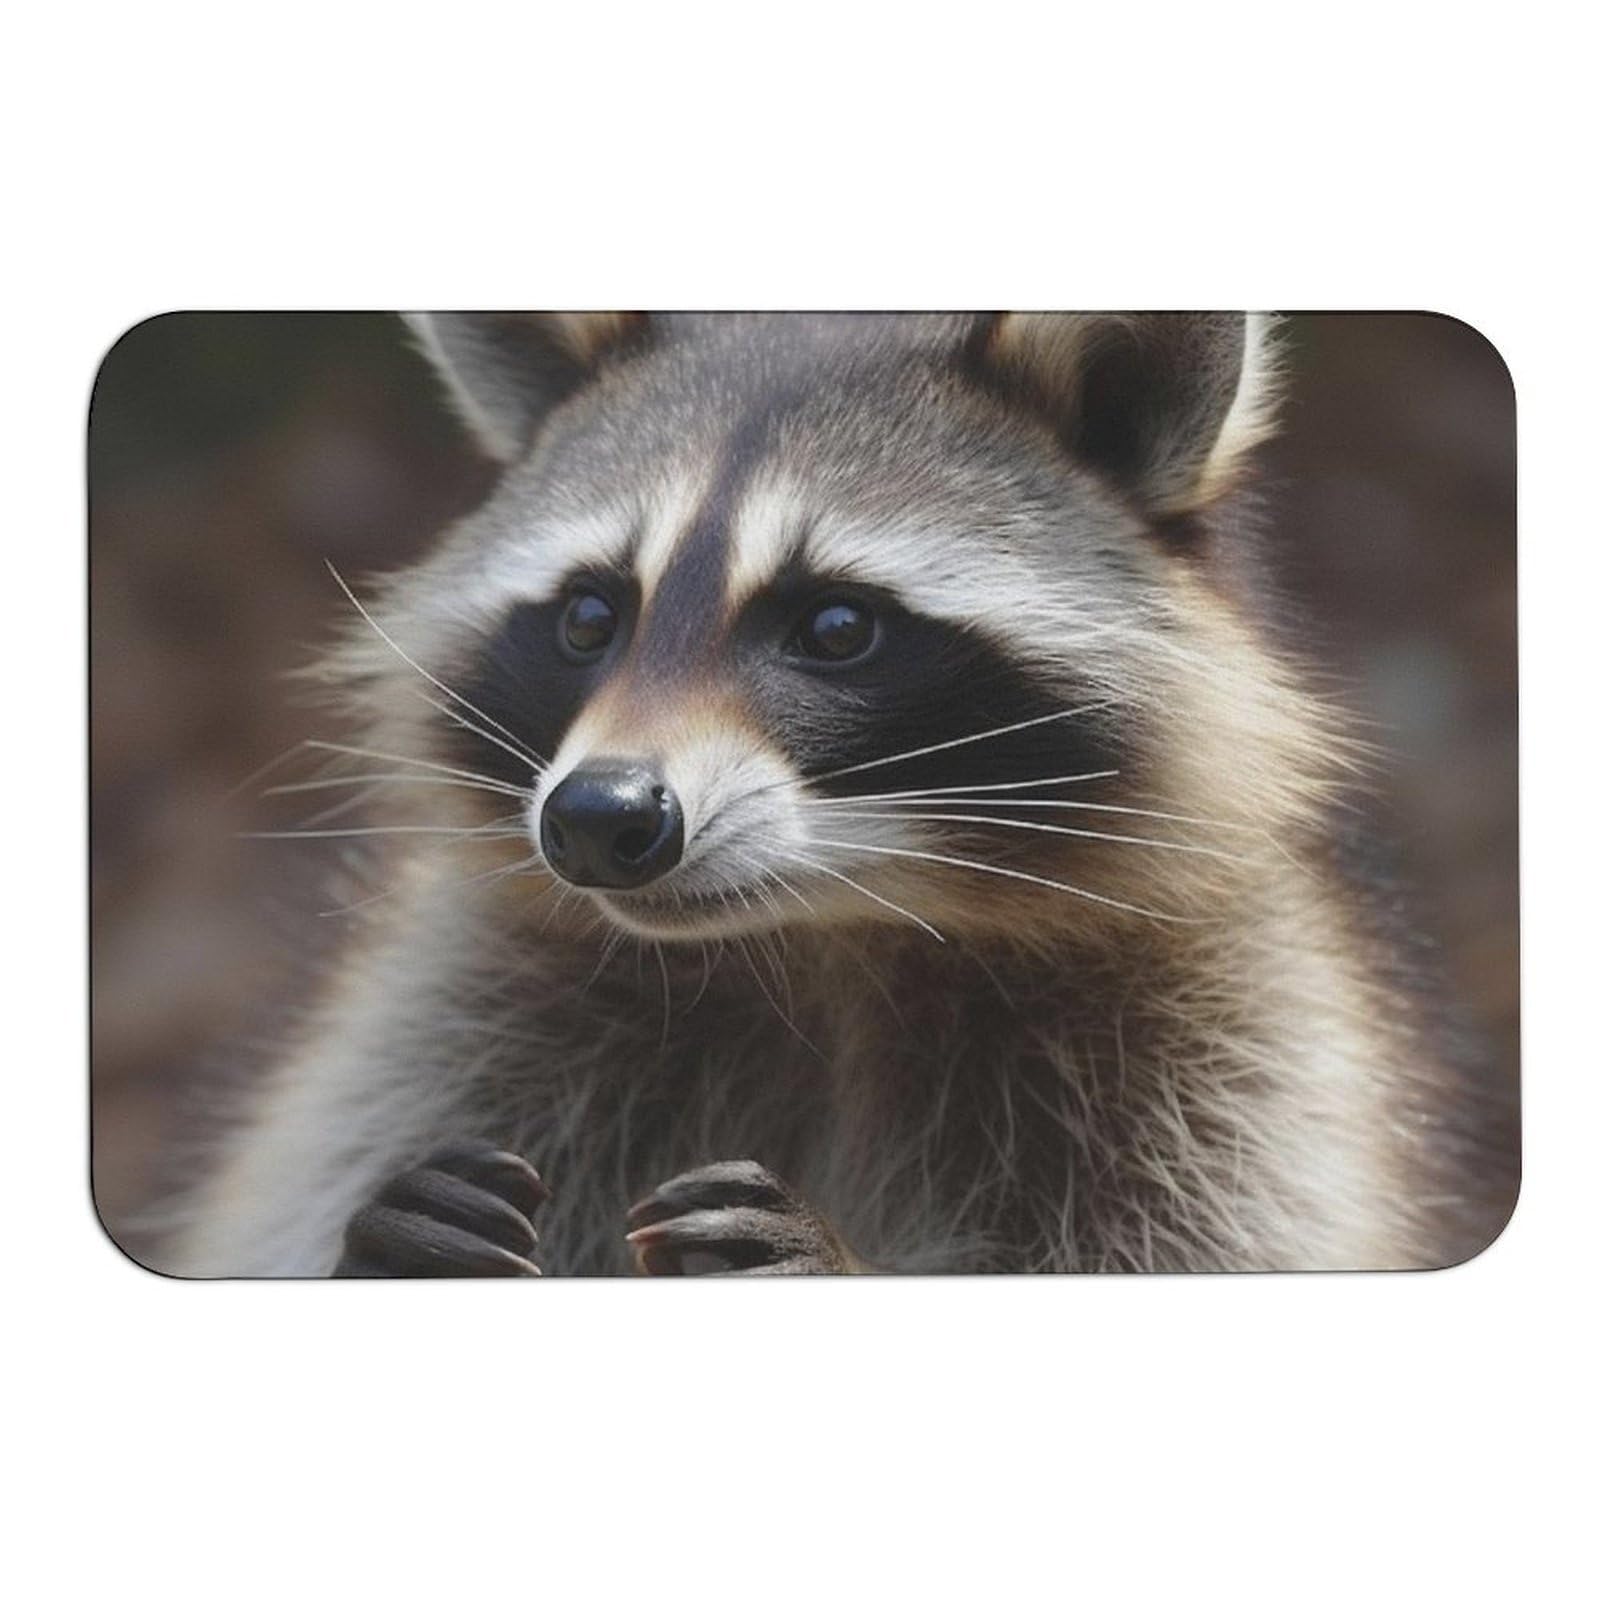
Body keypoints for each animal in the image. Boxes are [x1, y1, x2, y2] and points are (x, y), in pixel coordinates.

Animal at [170, 311, 1508, 1276]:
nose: (598, 820)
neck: (826, 935)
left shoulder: (1232, 1061)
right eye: (591, 616)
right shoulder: (459, 1015)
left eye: (835, 627)